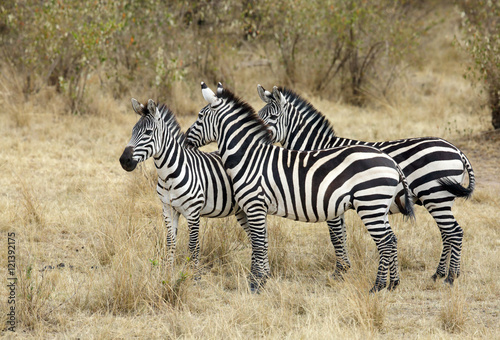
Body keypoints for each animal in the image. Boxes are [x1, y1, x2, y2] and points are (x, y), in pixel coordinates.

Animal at [117, 99, 250, 274]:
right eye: (132, 131)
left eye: (148, 133)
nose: (124, 160)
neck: (168, 176)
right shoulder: (168, 209)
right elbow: (170, 242)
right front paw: (167, 273)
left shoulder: (193, 213)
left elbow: (193, 247)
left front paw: (193, 276)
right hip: (242, 210)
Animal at [184, 82, 414, 292]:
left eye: (200, 116)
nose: (185, 141)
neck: (249, 156)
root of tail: (390, 161)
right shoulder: (258, 208)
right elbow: (263, 242)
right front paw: (262, 279)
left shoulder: (255, 205)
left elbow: (258, 243)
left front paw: (255, 284)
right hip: (377, 207)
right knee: (391, 239)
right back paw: (393, 284)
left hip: (370, 204)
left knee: (385, 242)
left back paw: (378, 286)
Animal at [256, 84, 474, 284]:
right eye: (258, 115)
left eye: (273, 117)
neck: (317, 149)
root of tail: (456, 149)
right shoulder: (336, 202)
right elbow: (342, 235)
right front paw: (344, 269)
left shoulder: (328, 197)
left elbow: (335, 236)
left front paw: (339, 273)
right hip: (440, 200)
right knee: (447, 234)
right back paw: (439, 274)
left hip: (435, 196)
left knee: (454, 232)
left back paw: (451, 277)